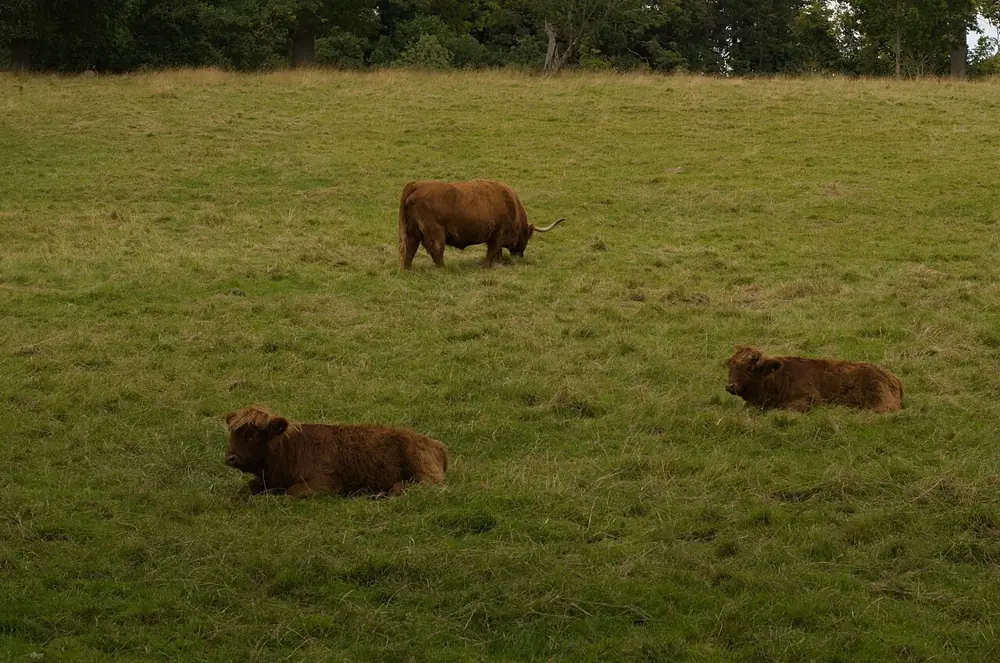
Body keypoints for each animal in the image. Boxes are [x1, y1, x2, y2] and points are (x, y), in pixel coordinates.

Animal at [223, 405, 448, 498]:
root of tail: (435, 443)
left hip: (425, 477)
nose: (230, 458)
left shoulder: (324, 485)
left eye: (251, 435)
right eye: (233, 432)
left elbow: (290, 492)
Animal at [398, 179, 564, 269]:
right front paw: (487, 266)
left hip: (411, 231)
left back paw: (408, 270)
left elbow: (497, 252)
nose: (520, 255)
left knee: (410, 250)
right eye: (526, 238)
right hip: (435, 232)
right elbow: (493, 251)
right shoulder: (498, 234)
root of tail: (416, 185)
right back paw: (444, 270)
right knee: (436, 250)